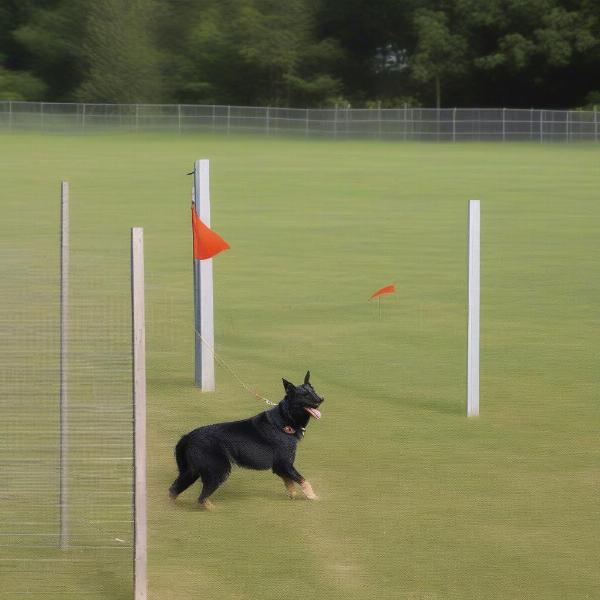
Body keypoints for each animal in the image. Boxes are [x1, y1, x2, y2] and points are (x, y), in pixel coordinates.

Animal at [169, 372, 326, 508]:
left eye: (313, 391)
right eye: (304, 395)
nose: (321, 399)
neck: (284, 420)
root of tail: (188, 436)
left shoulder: (280, 466)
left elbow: (290, 483)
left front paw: (293, 495)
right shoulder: (285, 464)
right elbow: (303, 481)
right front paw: (314, 497)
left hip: (192, 472)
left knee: (173, 490)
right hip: (217, 471)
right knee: (201, 498)